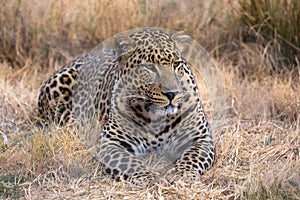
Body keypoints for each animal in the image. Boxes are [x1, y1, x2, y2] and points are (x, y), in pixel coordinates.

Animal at [38, 28, 216, 188]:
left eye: (177, 64)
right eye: (149, 67)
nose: (172, 93)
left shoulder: (200, 139)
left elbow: (191, 158)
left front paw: (181, 175)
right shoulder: (111, 142)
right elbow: (129, 162)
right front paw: (150, 178)